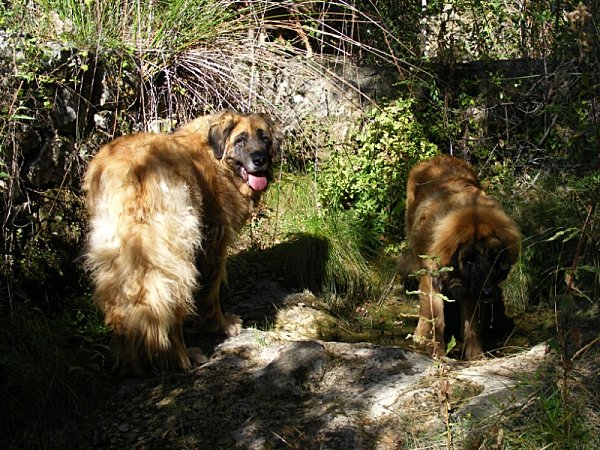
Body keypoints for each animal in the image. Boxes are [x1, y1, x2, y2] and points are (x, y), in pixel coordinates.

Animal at [82, 110, 286, 374]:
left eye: (264, 138)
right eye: (240, 140)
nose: (260, 160)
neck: (215, 158)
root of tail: (135, 170)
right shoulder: (214, 242)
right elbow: (212, 290)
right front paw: (222, 325)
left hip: (117, 253)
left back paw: (128, 359)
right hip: (176, 252)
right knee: (171, 305)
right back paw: (182, 357)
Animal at [398, 155, 520, 358]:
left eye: (494, 257)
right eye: (469, 259)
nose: (489, 293)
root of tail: (437, 157)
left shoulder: (472, 290)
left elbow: (473, 325)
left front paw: (476, 356)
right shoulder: (433, 279)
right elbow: (436, 318)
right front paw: (437, 352)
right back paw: (420, 335)